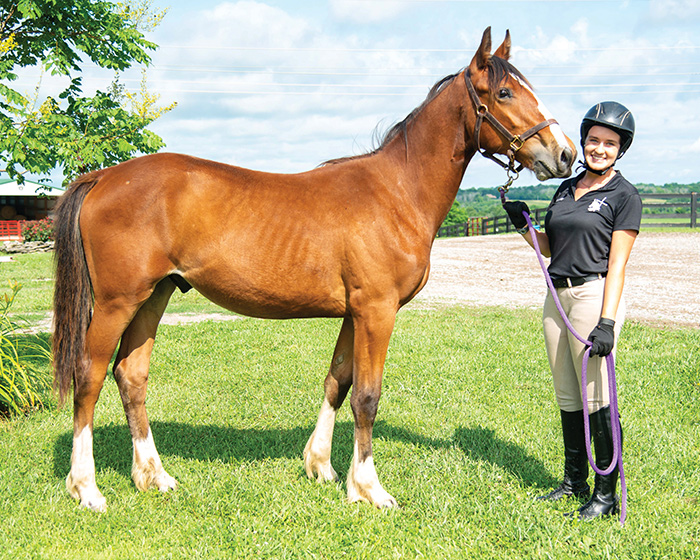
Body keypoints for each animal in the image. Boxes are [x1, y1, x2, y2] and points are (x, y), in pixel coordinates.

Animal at [49, 29, 576, 512]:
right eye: (504, 93)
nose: (565, 153)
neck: (398, 191)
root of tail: (103, 177)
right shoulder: (377, 311)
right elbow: (367, 396)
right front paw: (370, 489)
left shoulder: (354, 313)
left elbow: (337, 383)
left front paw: (322, 467)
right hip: (117, 303)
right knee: (89, 377)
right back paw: (87, 488)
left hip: (154, 296)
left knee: (130, 375)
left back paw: (153, 476)